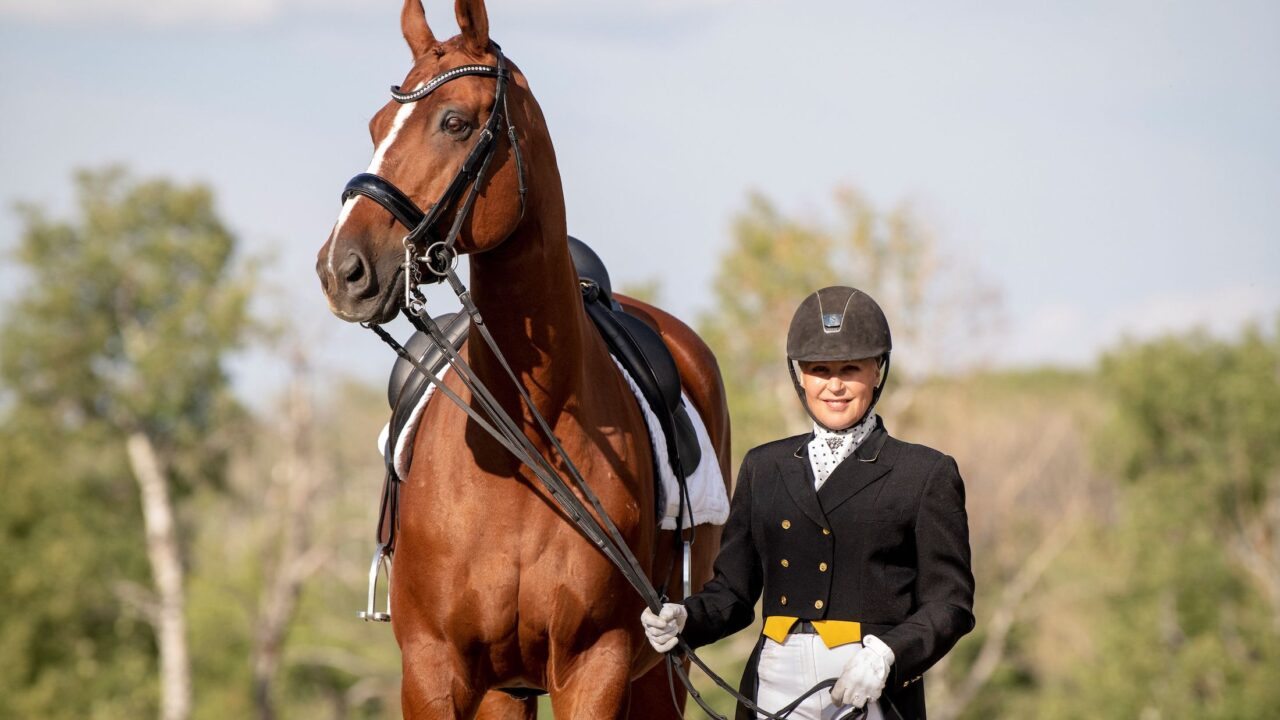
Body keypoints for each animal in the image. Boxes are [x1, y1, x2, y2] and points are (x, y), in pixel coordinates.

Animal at [314, 1, 731, 717]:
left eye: (455, 122)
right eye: (375, 124)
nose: (344, 268)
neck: (524, 448)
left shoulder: (596, 667)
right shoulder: (435, 670)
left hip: (660, 675)